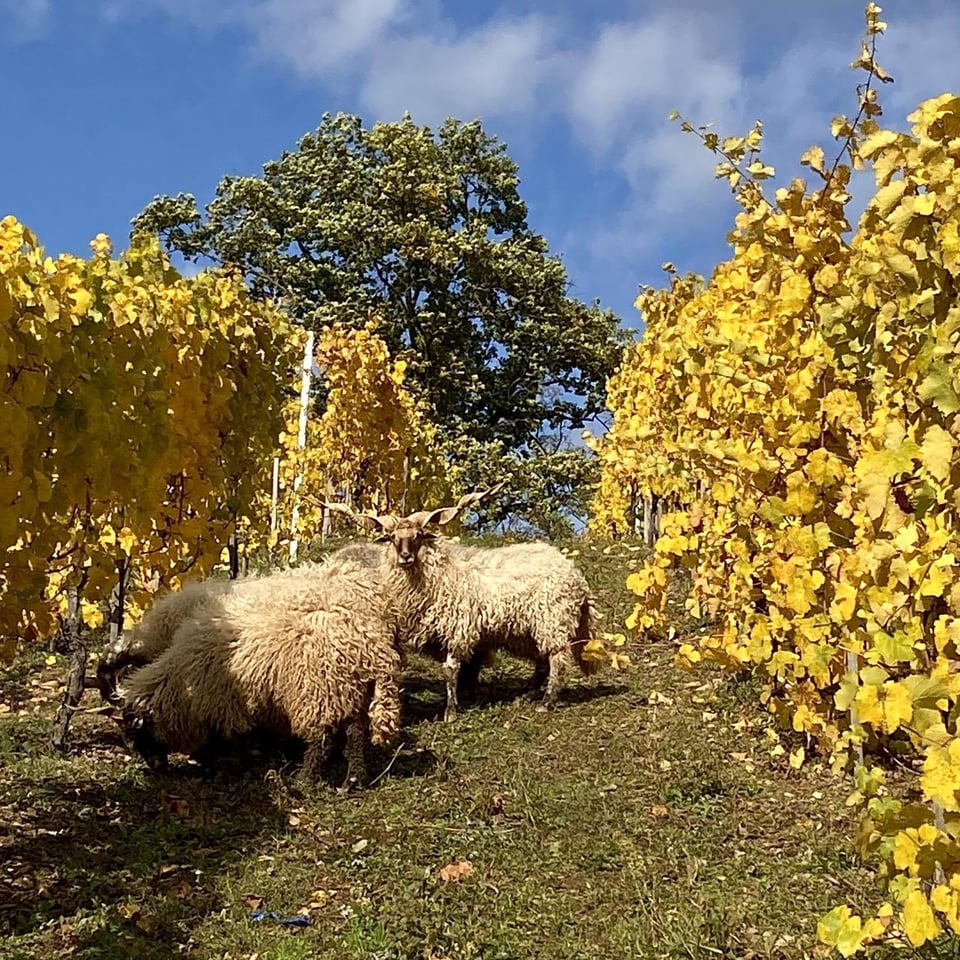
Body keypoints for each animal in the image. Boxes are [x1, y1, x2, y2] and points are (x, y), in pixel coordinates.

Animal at [118, 558, 402, 788]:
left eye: (140, 733)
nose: (155, 768)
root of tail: (371, 645)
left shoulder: (222, 701)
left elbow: (229, 737)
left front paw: (220, 763)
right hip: (348, 690)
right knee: (355, 733)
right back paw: (353, 781)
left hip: (318, 692)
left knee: (321, 740)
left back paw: (305, 780)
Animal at [326, 490, 598, 722]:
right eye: (393, 538)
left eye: (418, 536)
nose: (405, 557)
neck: (441, 575)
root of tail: (575, 574)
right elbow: (467, 668)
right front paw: (466, 697)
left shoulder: (457, 631)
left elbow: (451, 670)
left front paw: (451, 711)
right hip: (527, 630)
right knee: (542, 660)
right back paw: (527, 694)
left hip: (553, 620)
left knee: (557, 659)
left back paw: (546, 701)